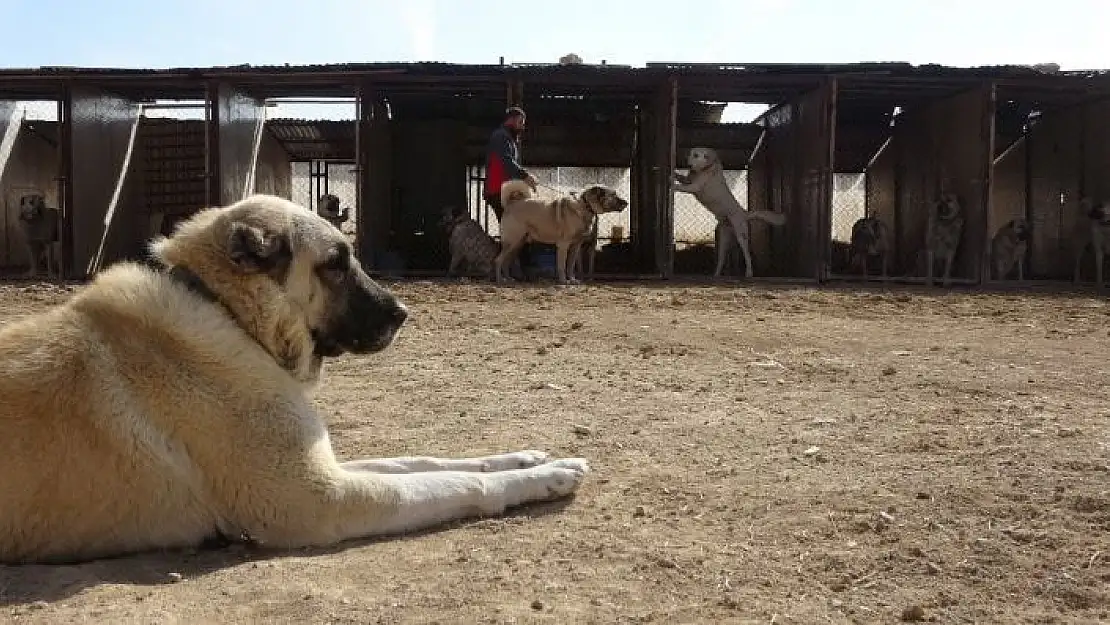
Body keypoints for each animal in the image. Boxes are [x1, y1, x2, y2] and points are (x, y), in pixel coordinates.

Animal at [0, 193, 590, 563]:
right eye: (334, 263)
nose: (403, 313)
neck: (226, 312)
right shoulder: (320, 499)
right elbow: (457, 483)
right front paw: (547, 477)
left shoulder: (322, 463)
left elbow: (426, 462)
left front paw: (527, 459)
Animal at [492, 179, 626, 284]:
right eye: (613, 195)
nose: (626, 202)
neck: (585, 206)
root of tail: (511, 204)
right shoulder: (563, 245)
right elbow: (562, 265)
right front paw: (563, 281)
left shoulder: (575, 247)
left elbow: (570, 265)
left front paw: (572, 279)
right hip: (512, 242)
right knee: (498, 260)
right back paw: (499, 280)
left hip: (517, 244)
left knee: (506, 262)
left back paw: (509, 279)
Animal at [666, 147, 790, 278]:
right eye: (690, 154)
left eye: (696, 155)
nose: (689, 165)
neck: (706, 168)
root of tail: (744, 213)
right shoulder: (688, 180)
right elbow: (681, 178)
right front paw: (674, 174)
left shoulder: (694, 187)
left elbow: (680, 187)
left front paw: (672, 183)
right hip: (723, 240)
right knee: (721, 259)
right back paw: (716, 274)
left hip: (741, 235)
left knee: (747, 255)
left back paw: (749, 272)